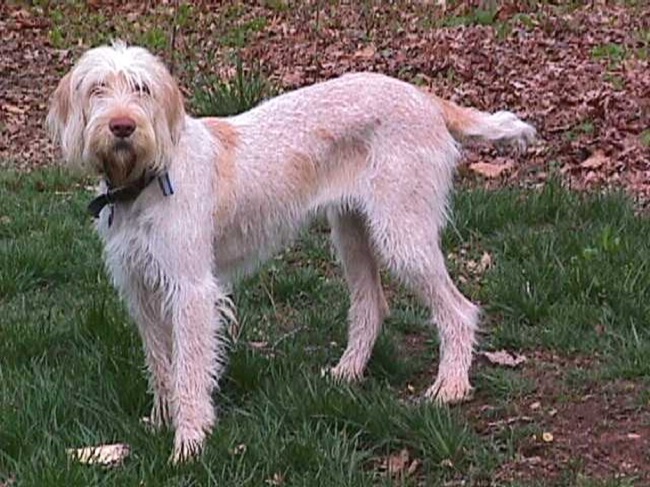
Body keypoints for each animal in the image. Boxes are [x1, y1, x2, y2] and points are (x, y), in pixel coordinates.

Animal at [44, 41, 532, 462]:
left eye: (141, 89)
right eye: (97, 89)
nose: (122, 127)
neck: (144, 177)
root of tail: (425, 98)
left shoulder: (191, 291)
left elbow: (189, 369)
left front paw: (189, 443)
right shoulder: (141, 289)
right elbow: (162, 365)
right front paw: (161, 422)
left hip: (402, 236)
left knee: (458, 310)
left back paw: (450, 387)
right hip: (352, 232)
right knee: (371, 305)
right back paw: (346, 374)